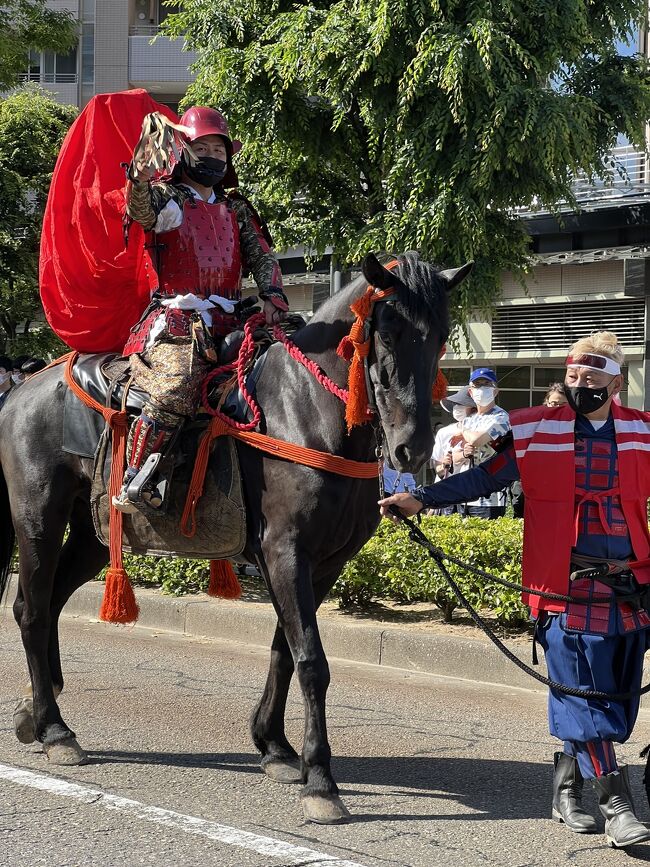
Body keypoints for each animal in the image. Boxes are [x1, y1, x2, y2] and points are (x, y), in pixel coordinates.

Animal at [0, 249, 468, 820]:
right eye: (388, 329)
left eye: (440, 333)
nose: (412, 450)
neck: (305, 412)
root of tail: (20, 390)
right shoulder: (285, 551)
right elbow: (312, 661)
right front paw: (321, 780)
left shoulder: (323, 561)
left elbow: (286, 649)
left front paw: (275, 746)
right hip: (38, 516)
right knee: (32, 609)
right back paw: (54, 729)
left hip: (93, 534)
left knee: (48, 603)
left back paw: (36, 711)